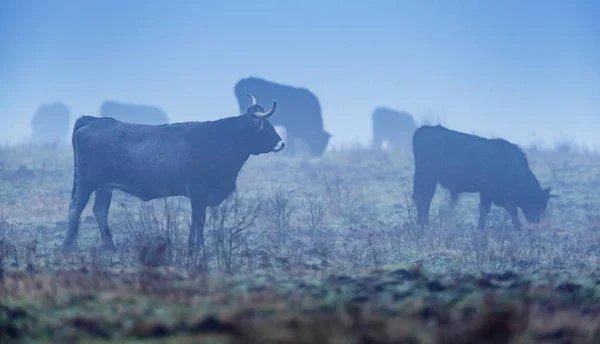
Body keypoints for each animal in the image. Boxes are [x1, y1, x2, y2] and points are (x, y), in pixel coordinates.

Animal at [62, 94, 284, 253]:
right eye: (264, 126)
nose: (281, 143)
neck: (222, 139)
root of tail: (93, 120)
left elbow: (196, 222)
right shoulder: (198, 193)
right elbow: (199, 220)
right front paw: (198, 248)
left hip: (104, 187)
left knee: (100, 211)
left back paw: (110, 247)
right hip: (87, 182)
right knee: (76, 207)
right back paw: (68, 247)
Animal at [412, 125, 556, 230]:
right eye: (537, 203)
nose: (535, 221)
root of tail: (423, 129)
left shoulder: (488, 194)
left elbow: (486, 210)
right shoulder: (494, 194)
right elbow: (505, 212)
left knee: (421, 199)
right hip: (427, 177)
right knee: (423, 199)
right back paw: (424, 225)